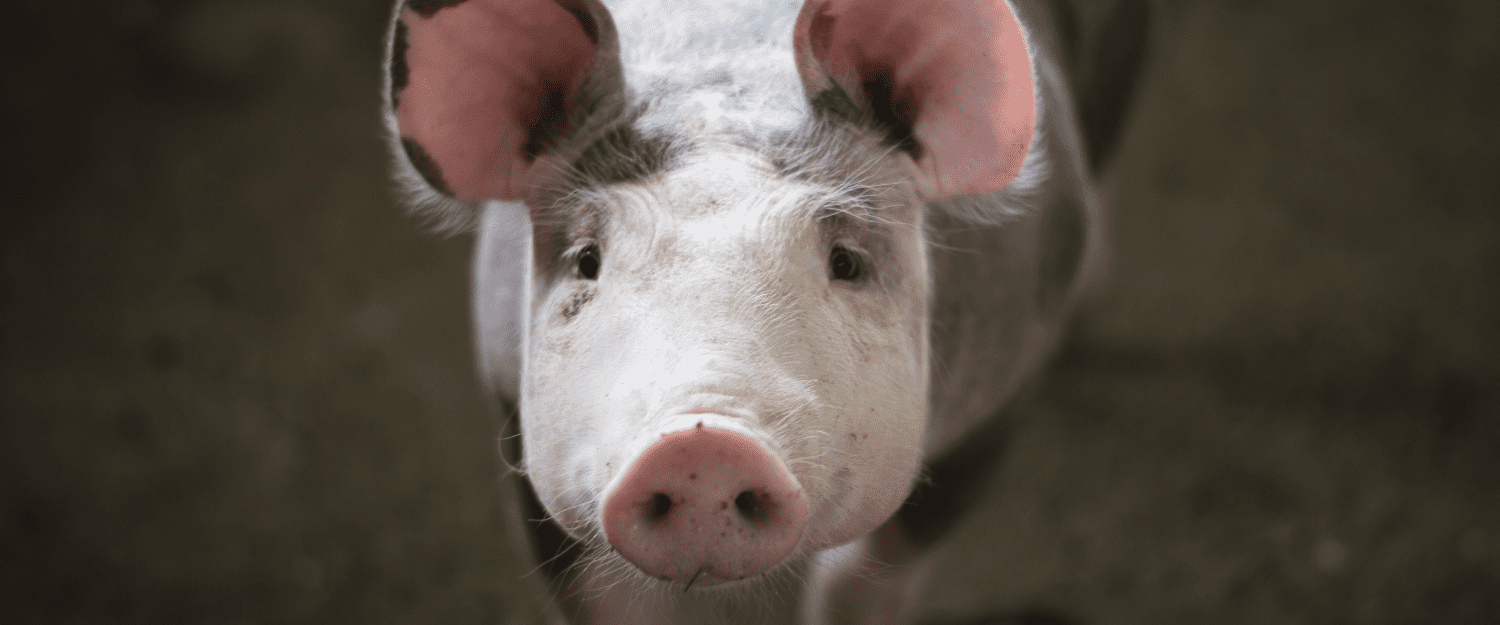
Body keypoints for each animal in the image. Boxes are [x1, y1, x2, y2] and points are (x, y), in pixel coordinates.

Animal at [381, 0, 1140, 617]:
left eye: (845, 262)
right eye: (587, 260)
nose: (702, 443)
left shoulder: (1002, 386)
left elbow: (862, 583)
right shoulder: (513, 412)